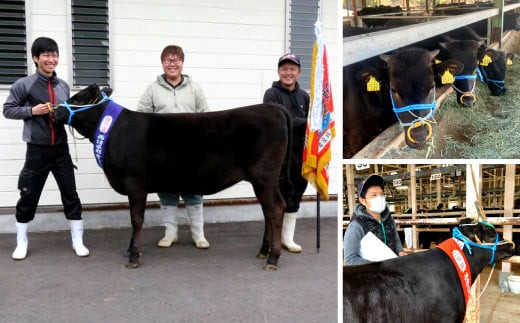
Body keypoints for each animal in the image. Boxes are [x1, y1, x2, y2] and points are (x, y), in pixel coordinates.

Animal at [52, 84, 292, 270]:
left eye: (77, 98)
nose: (54, 112)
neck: (115, 132)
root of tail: (273, 108)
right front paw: (130, 250)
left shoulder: (135, 185)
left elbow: (136, 219)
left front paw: (134, 256)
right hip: (260, 180)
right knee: (268, 211)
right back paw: (263, 251)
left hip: (265, 177)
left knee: (276, 209)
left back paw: (273, 258)